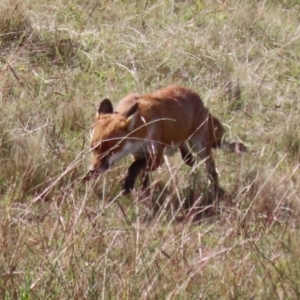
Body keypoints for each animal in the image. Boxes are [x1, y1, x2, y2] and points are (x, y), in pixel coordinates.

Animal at [86, 85, 246, 196]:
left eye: (112, 149)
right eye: (92, 148)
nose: (93, 170)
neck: (141, 126)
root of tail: (199, 100)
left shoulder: (157, 157)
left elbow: (134, 168)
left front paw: (127, 186)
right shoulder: (138, 154)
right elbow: (142, 174)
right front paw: (143, 194)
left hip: (200, 147)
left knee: (212, 171)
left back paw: (215, 192)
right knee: (186, 152)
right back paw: (187, 157)